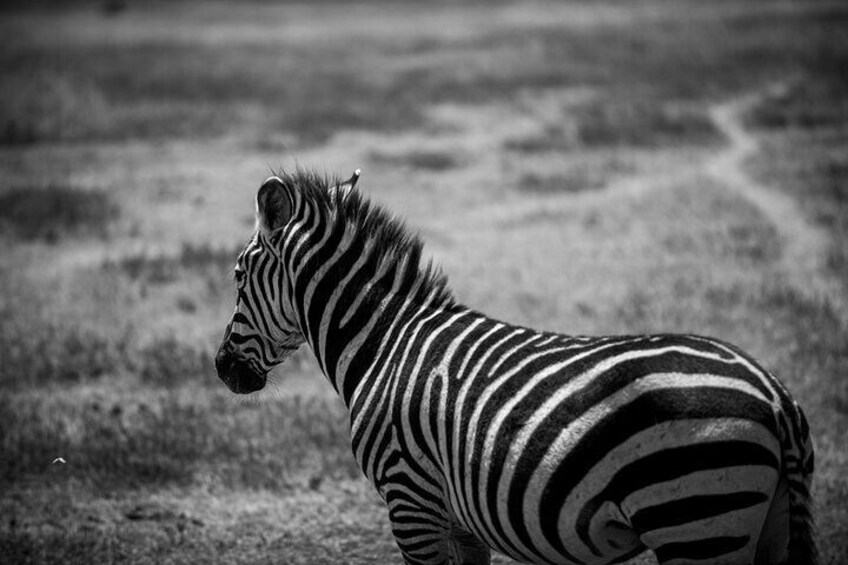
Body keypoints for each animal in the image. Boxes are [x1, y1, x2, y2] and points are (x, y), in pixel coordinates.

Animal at [215, 168, 817, 565]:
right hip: (764, 524)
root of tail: (774, 397)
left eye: (238, 276)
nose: (222, 369)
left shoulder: (410, 500)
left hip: (693, 516)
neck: (384, 343)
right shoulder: (458, 519)